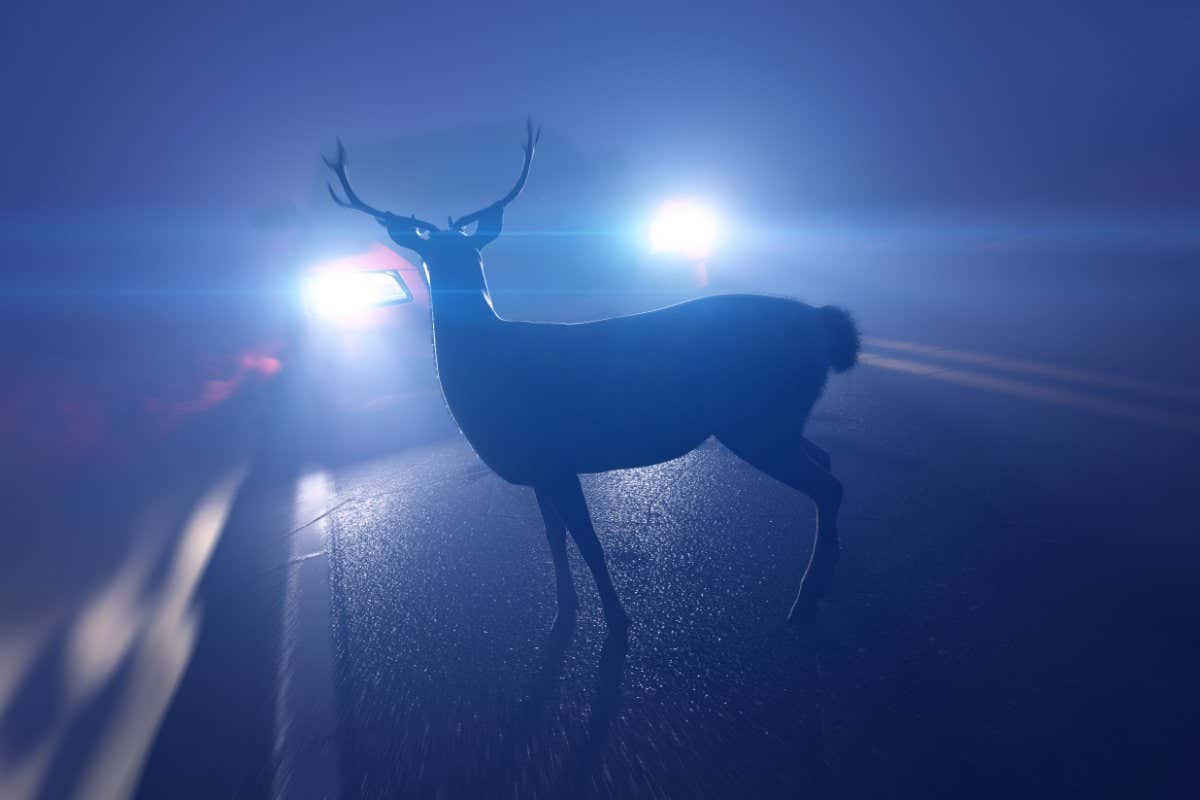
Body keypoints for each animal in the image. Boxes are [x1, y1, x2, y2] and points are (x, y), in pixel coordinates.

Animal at [324, 120, 860, 633]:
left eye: (471, 253)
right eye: (429, 257)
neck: (488, 369)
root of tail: (823, 323)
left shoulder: (556, 458)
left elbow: (589, 543)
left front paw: (618, 622)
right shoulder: (538, 468)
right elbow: (554, 543)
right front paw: (563, 613)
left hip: (755, 418)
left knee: (827, 485)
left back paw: (803, 600)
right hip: (777, 415)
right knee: (827, 462)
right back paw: (829, 576)